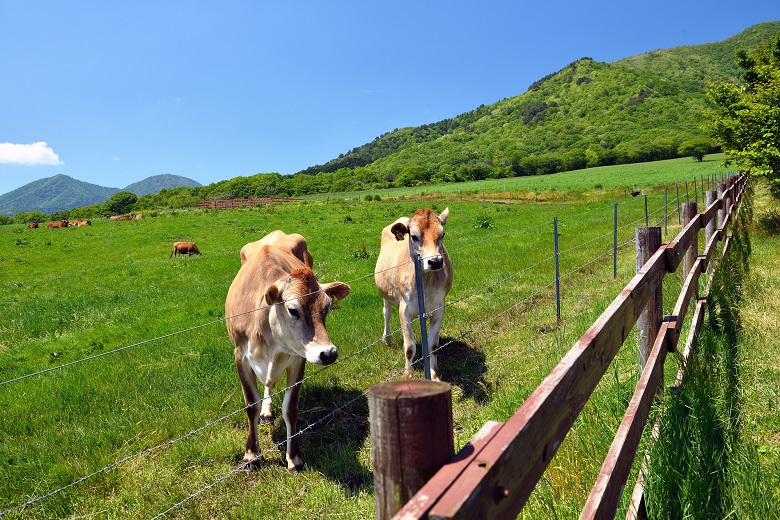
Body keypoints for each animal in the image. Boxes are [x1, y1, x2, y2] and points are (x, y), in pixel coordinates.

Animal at [224, 231, 348, 472]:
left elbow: (290, 408)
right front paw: (251, 455)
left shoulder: (299, 358)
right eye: (293, 310)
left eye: (327, 307)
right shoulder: (240, 356)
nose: (328, 353)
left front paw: (294, 458)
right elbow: (250, 405)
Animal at [374, 207, 454, 382]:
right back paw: (386, 338)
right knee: (386, 314)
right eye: (414, 236)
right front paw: (407, 376)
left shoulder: (439, 309)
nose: (435, 262)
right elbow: (410, 347)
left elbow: (433, 345)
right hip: (385, 295)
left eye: (442, 234)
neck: (424, 281)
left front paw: (434, 375)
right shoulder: (404, 310)